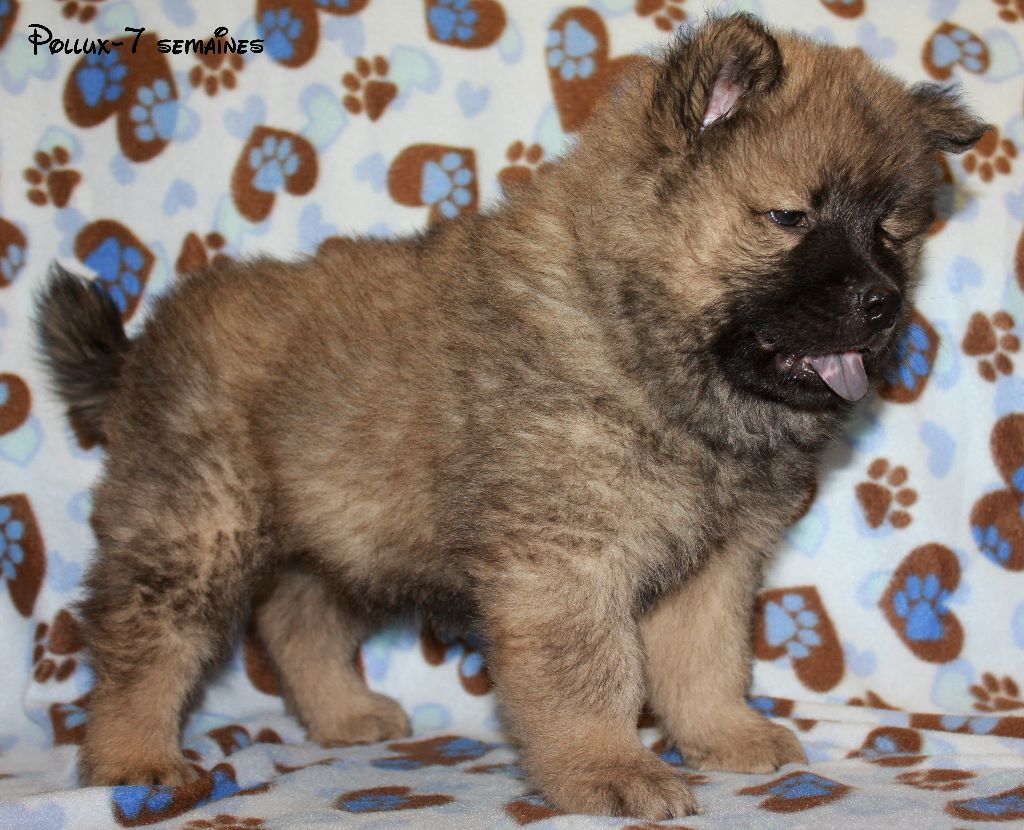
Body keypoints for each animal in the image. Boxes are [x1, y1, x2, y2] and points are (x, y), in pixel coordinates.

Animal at [36, 13, 985, 819]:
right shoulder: (565, 558)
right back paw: (134, 761)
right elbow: (593, 672)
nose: (882, 303)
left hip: (342, 528)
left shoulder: (715, 561)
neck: (634, 332)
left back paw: (344, 716)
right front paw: (609, 769)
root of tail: (139, 350)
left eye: (892, 229)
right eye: (789, 217)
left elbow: (707, 661)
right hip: (199, 522)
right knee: (143, 641)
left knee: (297, 621)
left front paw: (723, 736)